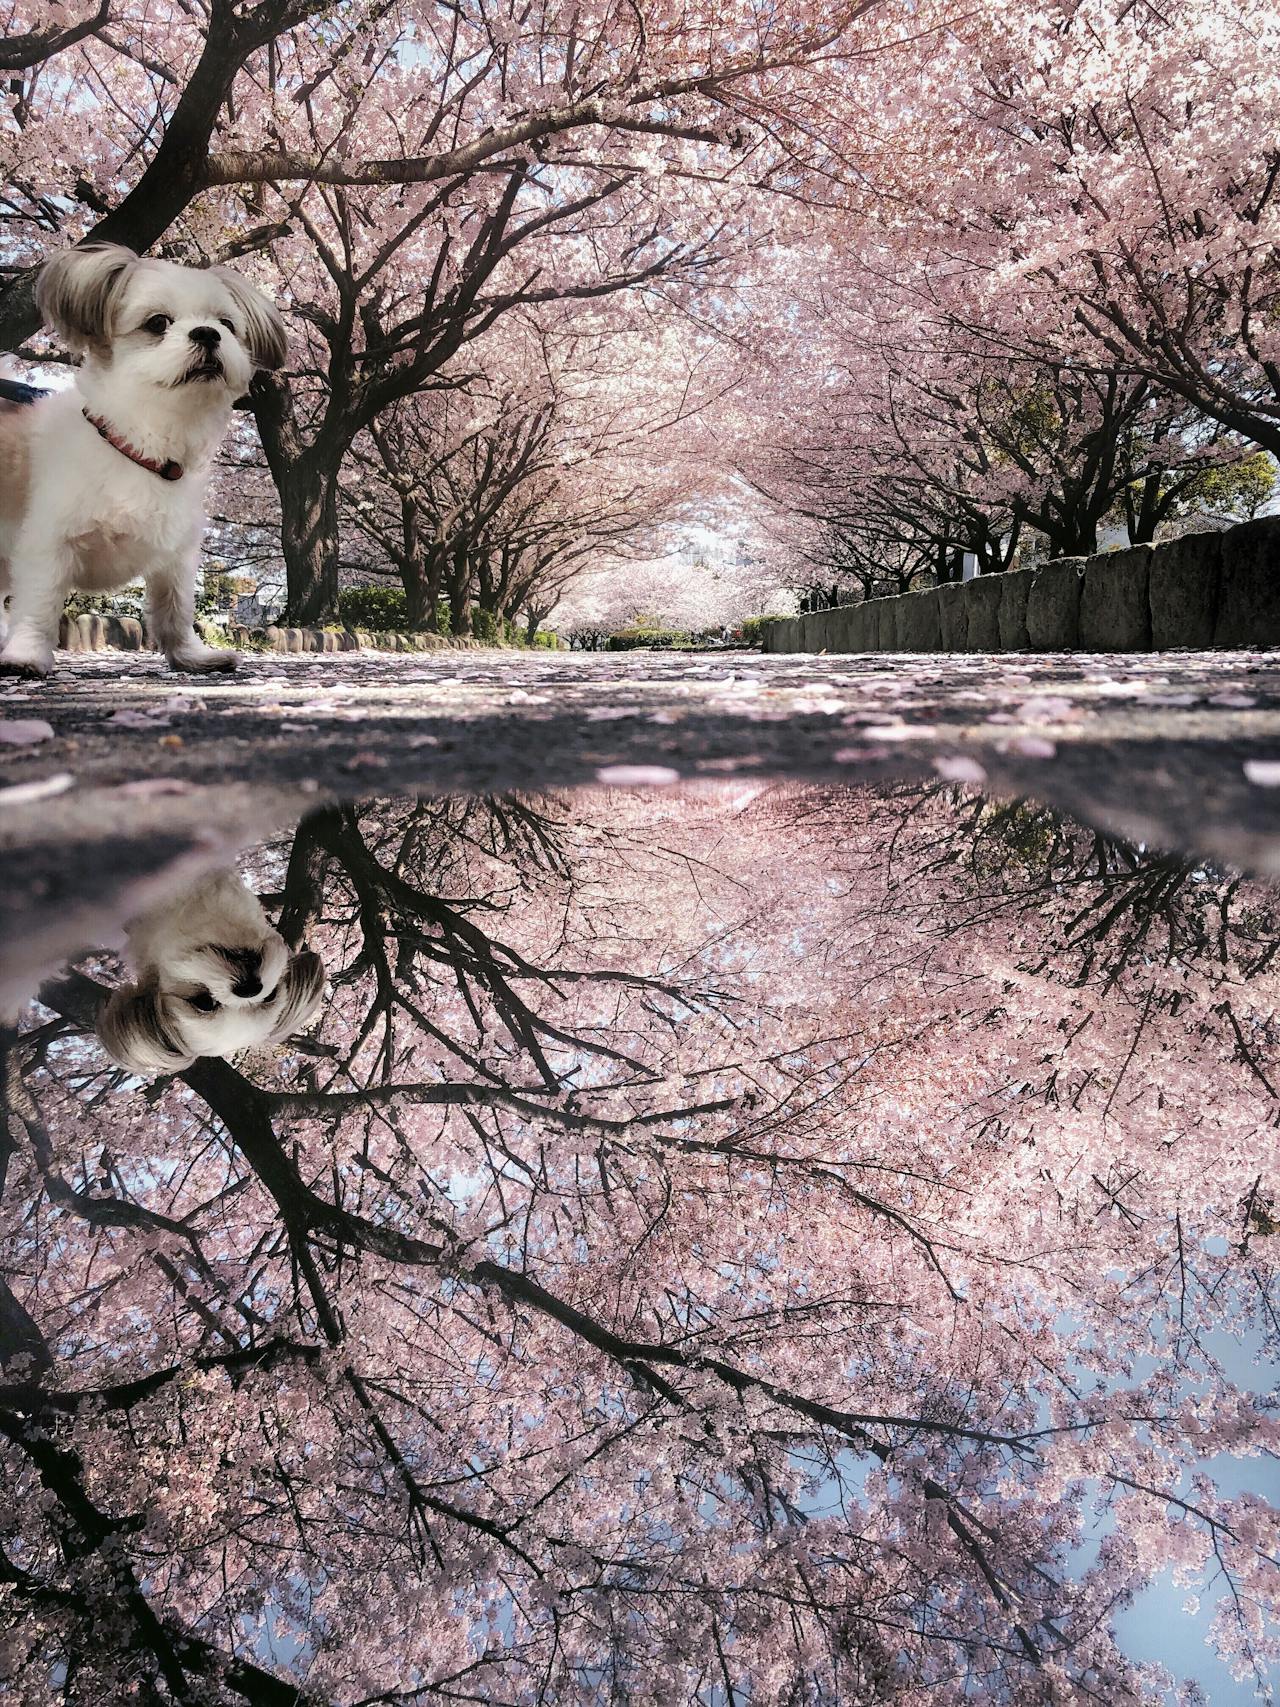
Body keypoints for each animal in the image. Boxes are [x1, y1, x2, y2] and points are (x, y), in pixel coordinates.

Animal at [0, 244, 285, 675]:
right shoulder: (47, 544)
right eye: (157, 323)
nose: (207, 333)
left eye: (226, 324)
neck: (141, 447)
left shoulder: (176, 556)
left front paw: (191, 656)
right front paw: (26, 654)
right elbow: (39, 603)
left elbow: (176, 609)